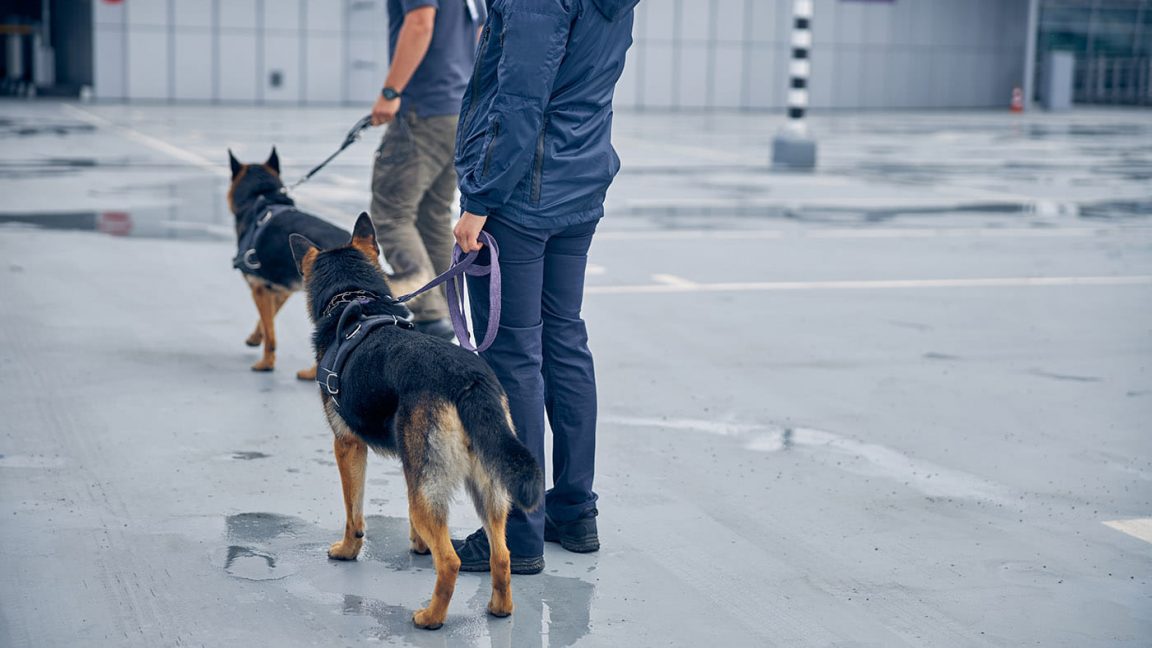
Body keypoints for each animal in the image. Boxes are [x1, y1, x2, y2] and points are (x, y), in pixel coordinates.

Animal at [225, 148, 345, 375]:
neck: (263, 196)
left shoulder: (259, 288)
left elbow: (270, 332)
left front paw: (265, 364)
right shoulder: (280, 291)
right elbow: (268, 320)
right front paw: (255, 337)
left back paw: (312, 372)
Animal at [285, 214, 541, 627]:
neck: (354, 300)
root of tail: (468, 380)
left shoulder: (347, 447)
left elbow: (353, 512)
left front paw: (347, 550)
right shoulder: (411, 468)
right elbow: (407, 518)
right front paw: (419, 546)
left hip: (436, 485)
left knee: (450, 562)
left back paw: (431, 617)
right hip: (483, 487)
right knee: (500, 554)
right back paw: (500, 608)